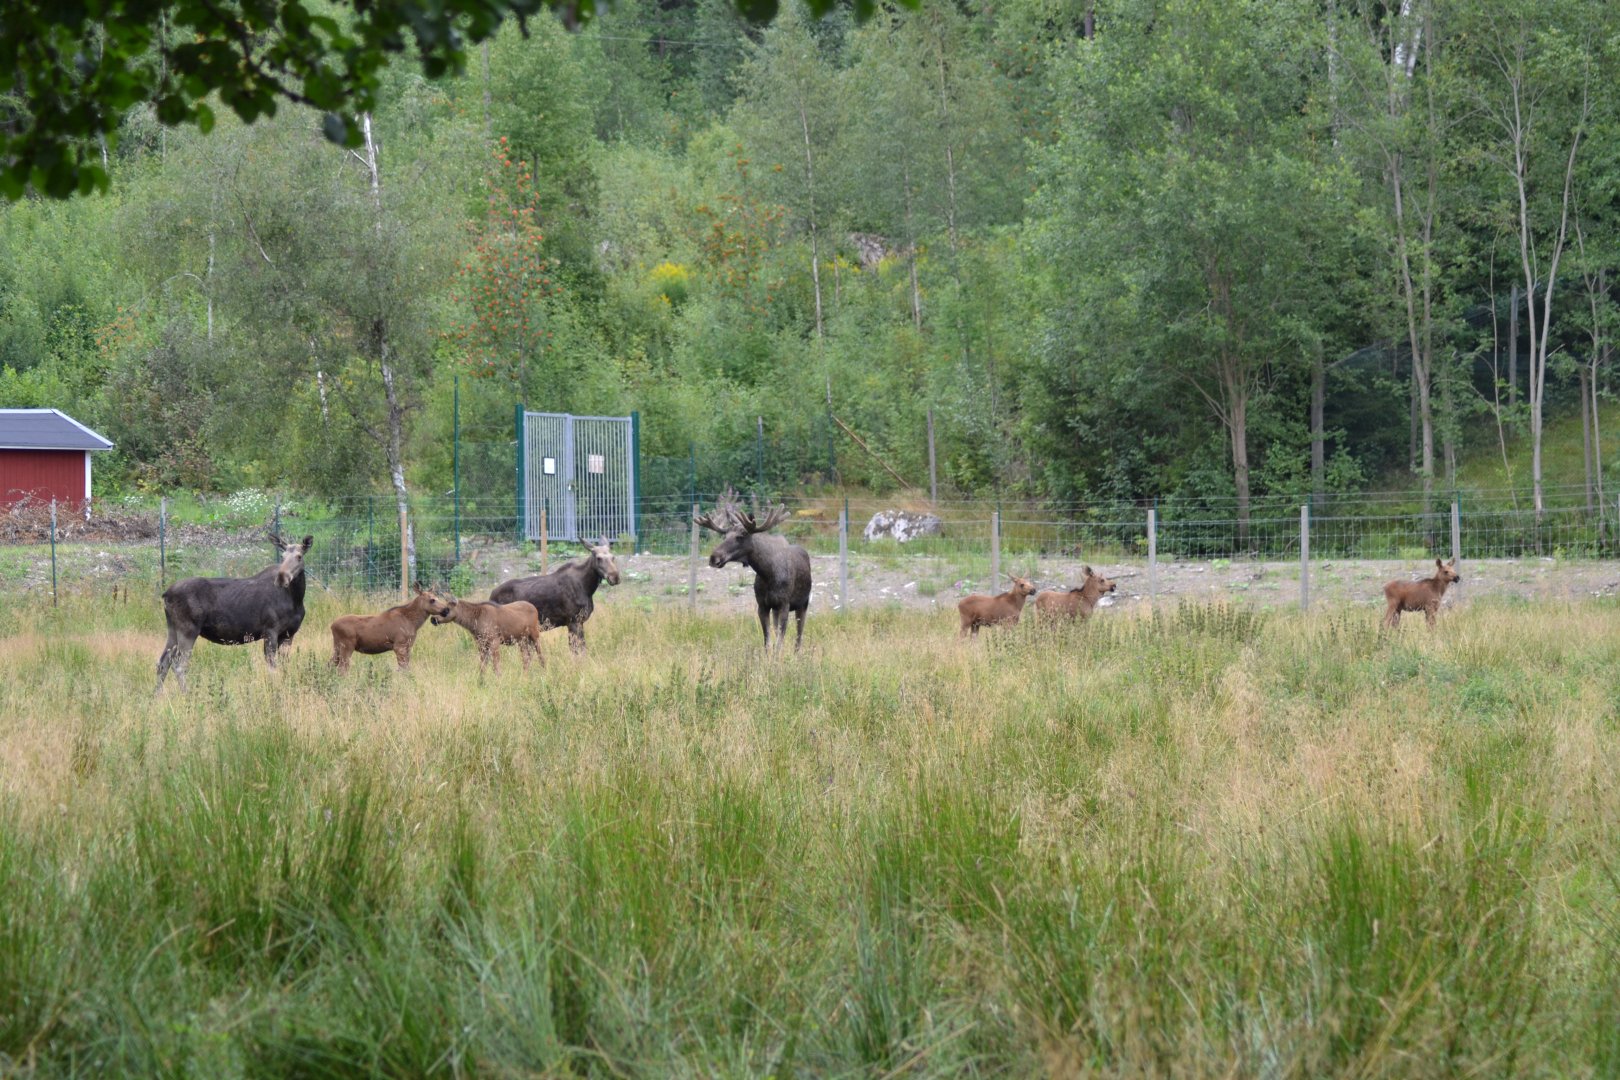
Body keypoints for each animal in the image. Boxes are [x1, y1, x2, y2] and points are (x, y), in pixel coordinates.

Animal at [155, 533, 313, 691]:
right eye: (282, 556)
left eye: (299, 556)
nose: (281, 577)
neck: (296, 599)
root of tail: (166, 594)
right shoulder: (270, 630)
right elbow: (272, 666)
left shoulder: (289, 634)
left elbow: (284, 665)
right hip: (188, 630)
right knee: (179, 665)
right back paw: (186, 693)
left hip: (173, 629)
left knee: (163, 662)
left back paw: (157, 695)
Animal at [488, 538, 620, 655]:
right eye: (599, 558)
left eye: (613, 557)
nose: (615, 577)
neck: (587, 588)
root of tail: (491, 595)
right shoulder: (573, 621)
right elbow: (577, 650)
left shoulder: (579, 622)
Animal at [695, 487, 812, 651]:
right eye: (725, 535)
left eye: (741, 536)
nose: (714, 558)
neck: (768, 574)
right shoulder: (763, 605)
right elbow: (768, 641)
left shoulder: (784, 604)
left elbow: (779, 643)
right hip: (776, 609)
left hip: (803, 603)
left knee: (799, 637)